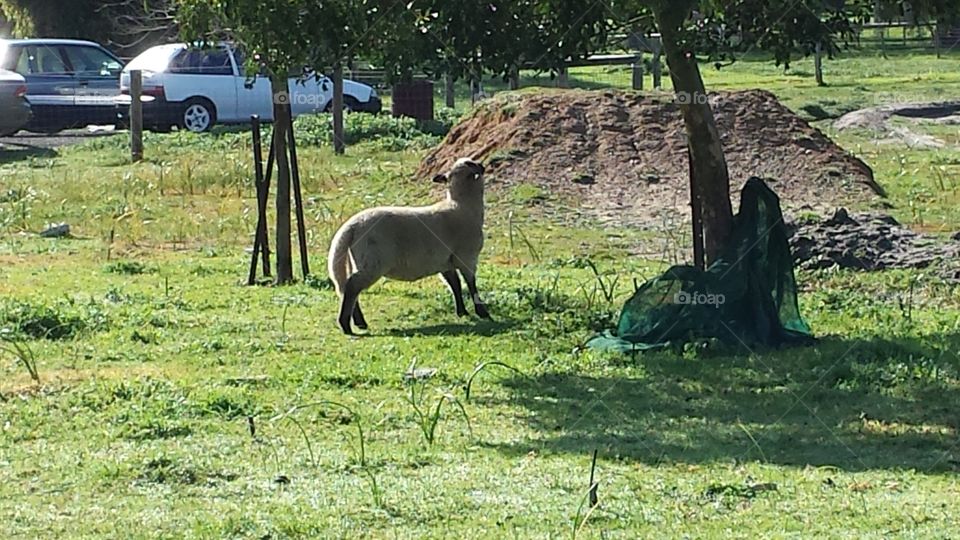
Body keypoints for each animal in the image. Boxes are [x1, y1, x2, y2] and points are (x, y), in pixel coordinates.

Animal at [327, 157, 490, 335]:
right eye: (471, 163)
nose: (483, 166)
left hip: (357, 260)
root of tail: (351, 226)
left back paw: (359, 322)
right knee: (351, 287)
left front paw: (462, 312)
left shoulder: (445, 262)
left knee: (350, 287)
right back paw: (346, 326)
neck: (462, 206)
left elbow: (455, 285)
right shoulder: (467, 256)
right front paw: (482, 313)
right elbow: (471, 284)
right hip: (373, 262)